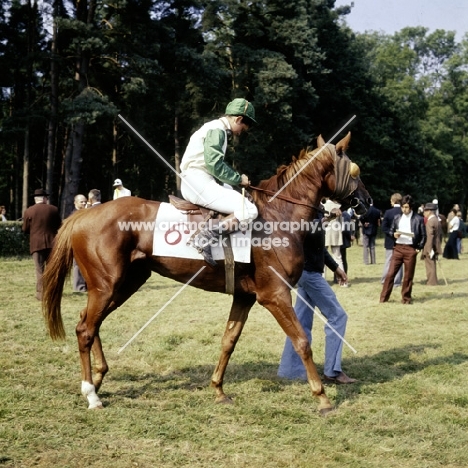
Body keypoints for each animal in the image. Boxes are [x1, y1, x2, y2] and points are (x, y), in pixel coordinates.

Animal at [44, 132, 372, 414]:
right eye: (355, 171)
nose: (368, 203)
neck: (279, 216)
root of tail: (83, 214)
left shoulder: (245, 297)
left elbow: (229, 341)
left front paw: (218, 389)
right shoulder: (275, 295)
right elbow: (302, 341)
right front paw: (322, 397)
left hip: (125, 284)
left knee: (90, 323)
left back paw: (98, 378)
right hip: (107, 285)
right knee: (85, 329)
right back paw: (91, 393)